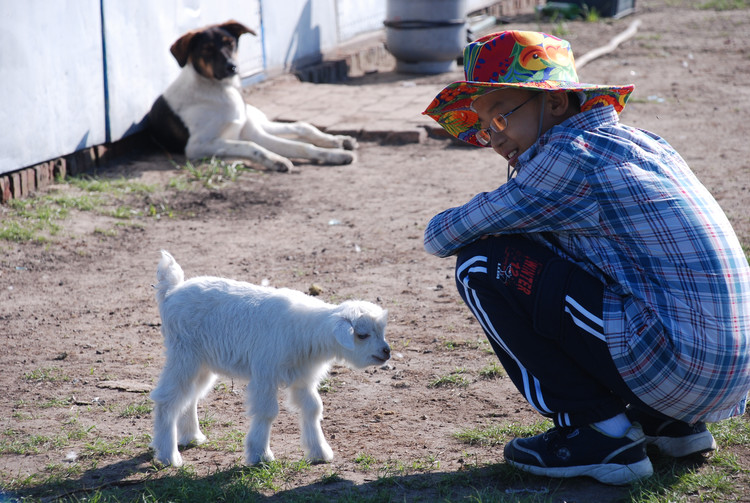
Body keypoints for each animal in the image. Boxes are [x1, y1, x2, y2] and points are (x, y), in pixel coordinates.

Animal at [148, 20, 360, 174]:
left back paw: (339, 140)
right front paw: (276, 159)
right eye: (207, 49)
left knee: (300, 127)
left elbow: (302, 146)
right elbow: (251, 146)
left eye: (230, 43)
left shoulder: (249, 133)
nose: (232, 67)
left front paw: (334, 155)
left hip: (258, 123)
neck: (222, 92)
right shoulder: (197, 146)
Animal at [151, 252, 390, 468]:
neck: (306, 332)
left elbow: (313, 408)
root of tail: (172, 292)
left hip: (202, 362)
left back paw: (192, 437)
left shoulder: (302, 377)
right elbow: (267, 412)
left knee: (189, 396)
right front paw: (260, 455)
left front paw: (319, 452)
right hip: (184, 354)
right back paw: (168, 457)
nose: (386, 352)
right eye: (362, 335)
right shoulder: (266, 373)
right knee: (167, 399)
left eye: (381, 330)